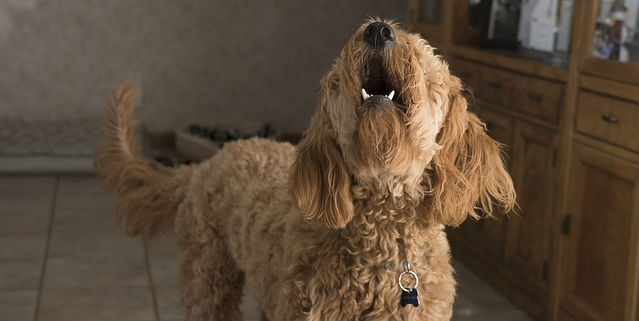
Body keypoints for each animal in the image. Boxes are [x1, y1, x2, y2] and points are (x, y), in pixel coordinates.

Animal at [94, 20, 516, 320]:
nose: (378, 29)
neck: (383, 231)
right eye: (337, 79)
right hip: (208, 277)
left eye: (419, 53)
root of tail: (208, 163)